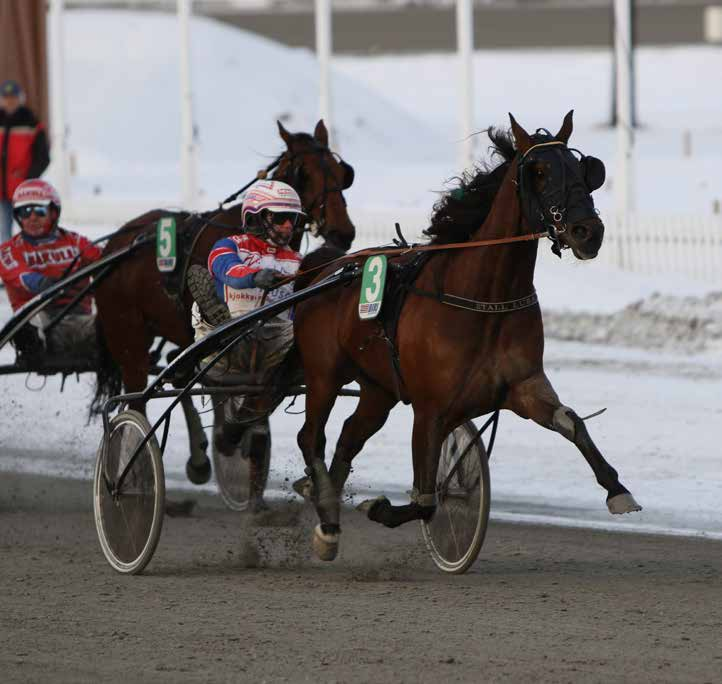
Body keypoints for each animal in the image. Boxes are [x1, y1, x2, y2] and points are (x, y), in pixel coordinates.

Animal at [91, 120, 356, 484]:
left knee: (176, 370)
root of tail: (116, 245)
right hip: (127, 333)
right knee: (139, 397)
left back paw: (198, 457)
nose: (344, 232)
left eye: (342, 173)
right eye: (304, 173)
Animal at [292, 112, 640, 560]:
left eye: (584, 170)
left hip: (378, 389)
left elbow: (572, 422)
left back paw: (328, 514)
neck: (484, 298)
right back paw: (327, 517)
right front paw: (380, 507)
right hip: (324, 375)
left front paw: (618, 490)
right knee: (311, 437)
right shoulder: (431, 409)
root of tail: (326, 270)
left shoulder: (523, 386)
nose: (587, 231)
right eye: (539, 172)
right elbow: (426, 500)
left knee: (348, 437)